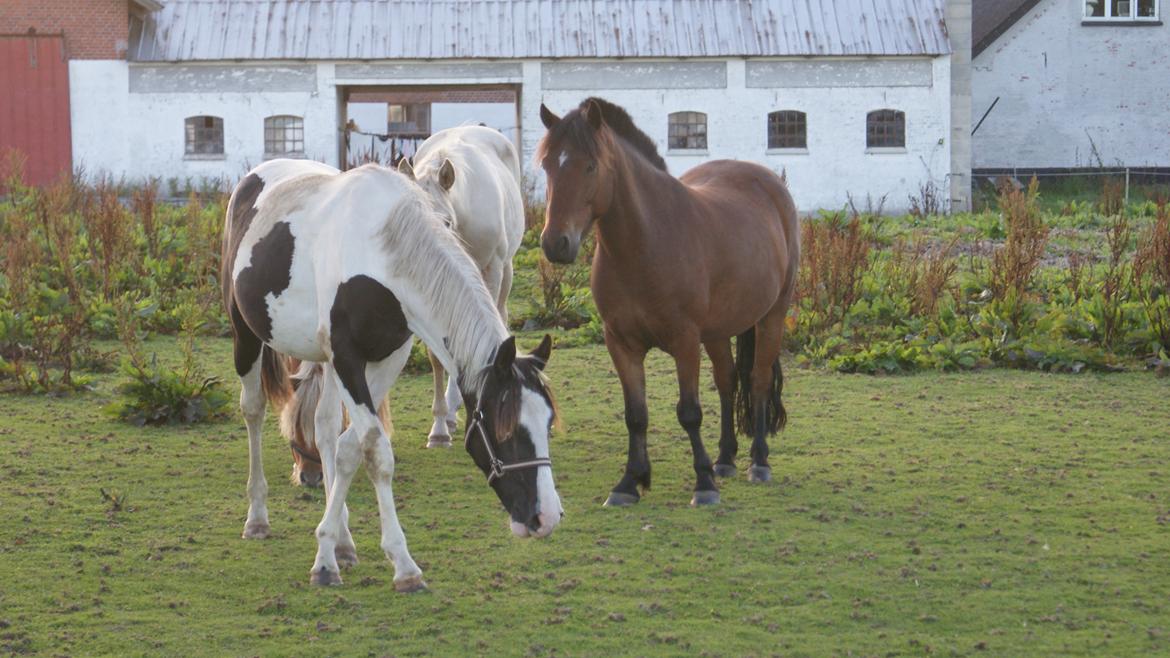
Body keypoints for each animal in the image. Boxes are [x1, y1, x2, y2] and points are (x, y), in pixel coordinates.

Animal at [222, 159, 561, 590]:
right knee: (253, 411)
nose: (545, 518)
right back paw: (257, 518)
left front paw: (335, 548)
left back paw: (342, 539)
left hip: (325, 361)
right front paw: (394, 563)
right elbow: (376, 449)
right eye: (505, 431)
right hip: (246, 335)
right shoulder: (348, 358)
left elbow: (352, 446)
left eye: (548, 425)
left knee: (324, 427)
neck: (380, 253)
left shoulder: (388, 357)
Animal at [535, 97, 795, 503]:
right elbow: (635, 415)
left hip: (772, 315)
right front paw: (630, 482)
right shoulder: (621, 343)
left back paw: (758, 462)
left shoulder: (684, 341)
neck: (646, 244)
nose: (555, 243)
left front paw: (703, 484)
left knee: (758, 380)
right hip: (718, 331)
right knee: (727, 380)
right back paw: (725, 459)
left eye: (590, 165)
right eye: (547, 164)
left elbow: (689, 412)